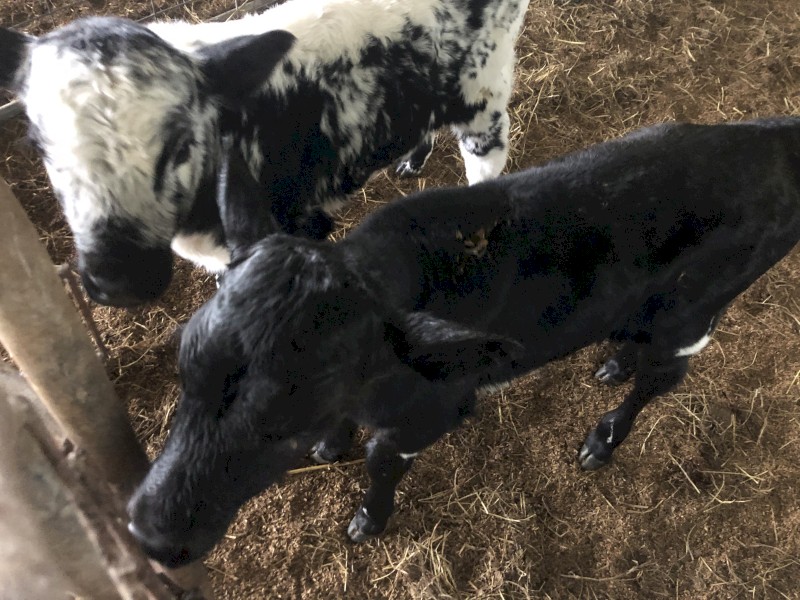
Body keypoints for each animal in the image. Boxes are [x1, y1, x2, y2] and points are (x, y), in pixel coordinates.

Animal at [127, 116, 800, 566]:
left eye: (283, 422)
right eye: (186, 369)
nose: (149, 532)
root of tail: (773, 136)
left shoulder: (430, 412)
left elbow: (381, 463)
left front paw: (368, 519)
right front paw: (330, 446)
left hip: (696, 311)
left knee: (661, 381)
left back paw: (604, 438)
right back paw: (614, 361)